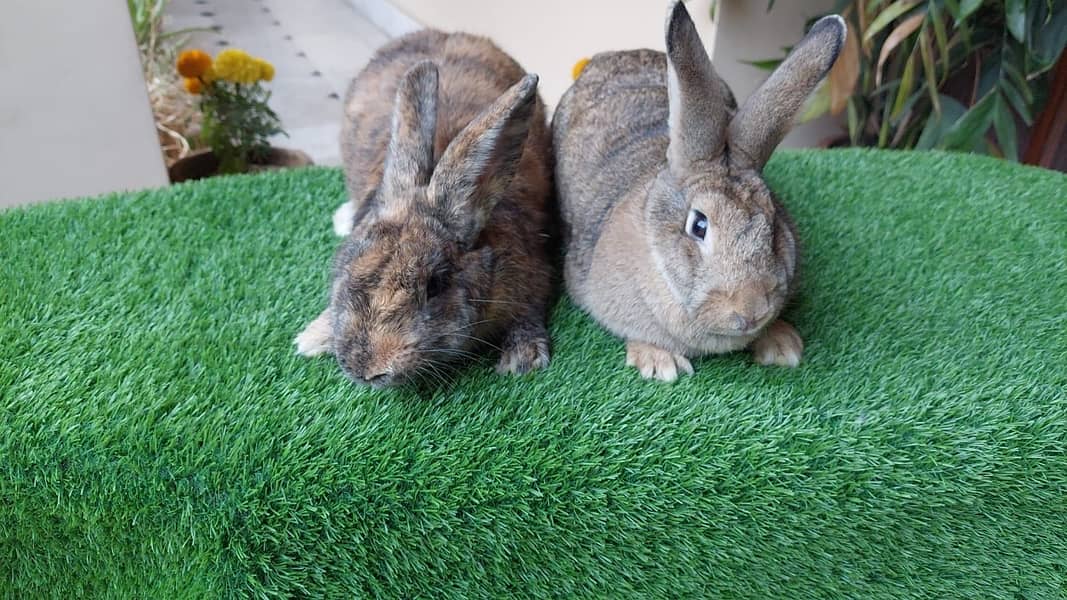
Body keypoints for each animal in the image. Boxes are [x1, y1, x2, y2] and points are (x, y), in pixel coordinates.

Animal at [294, 30, 555, 388]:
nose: (366, 370)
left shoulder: (534, 275)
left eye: (435, 285)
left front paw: (522, 358)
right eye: (345, 264)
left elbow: (529, 313)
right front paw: (311, 338)